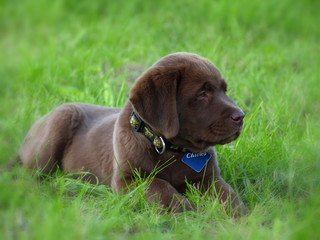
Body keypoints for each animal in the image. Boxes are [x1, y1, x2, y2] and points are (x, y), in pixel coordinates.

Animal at [19, 52, 248, 216]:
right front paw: (183, 209)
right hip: (58, 125)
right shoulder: (128, 180)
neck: (167, 147)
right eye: (202, 93)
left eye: (224, 90)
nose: (241, 116)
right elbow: (159, 187)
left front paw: (240, 214)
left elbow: (227, 194)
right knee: (29, 174)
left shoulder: (209, 178)